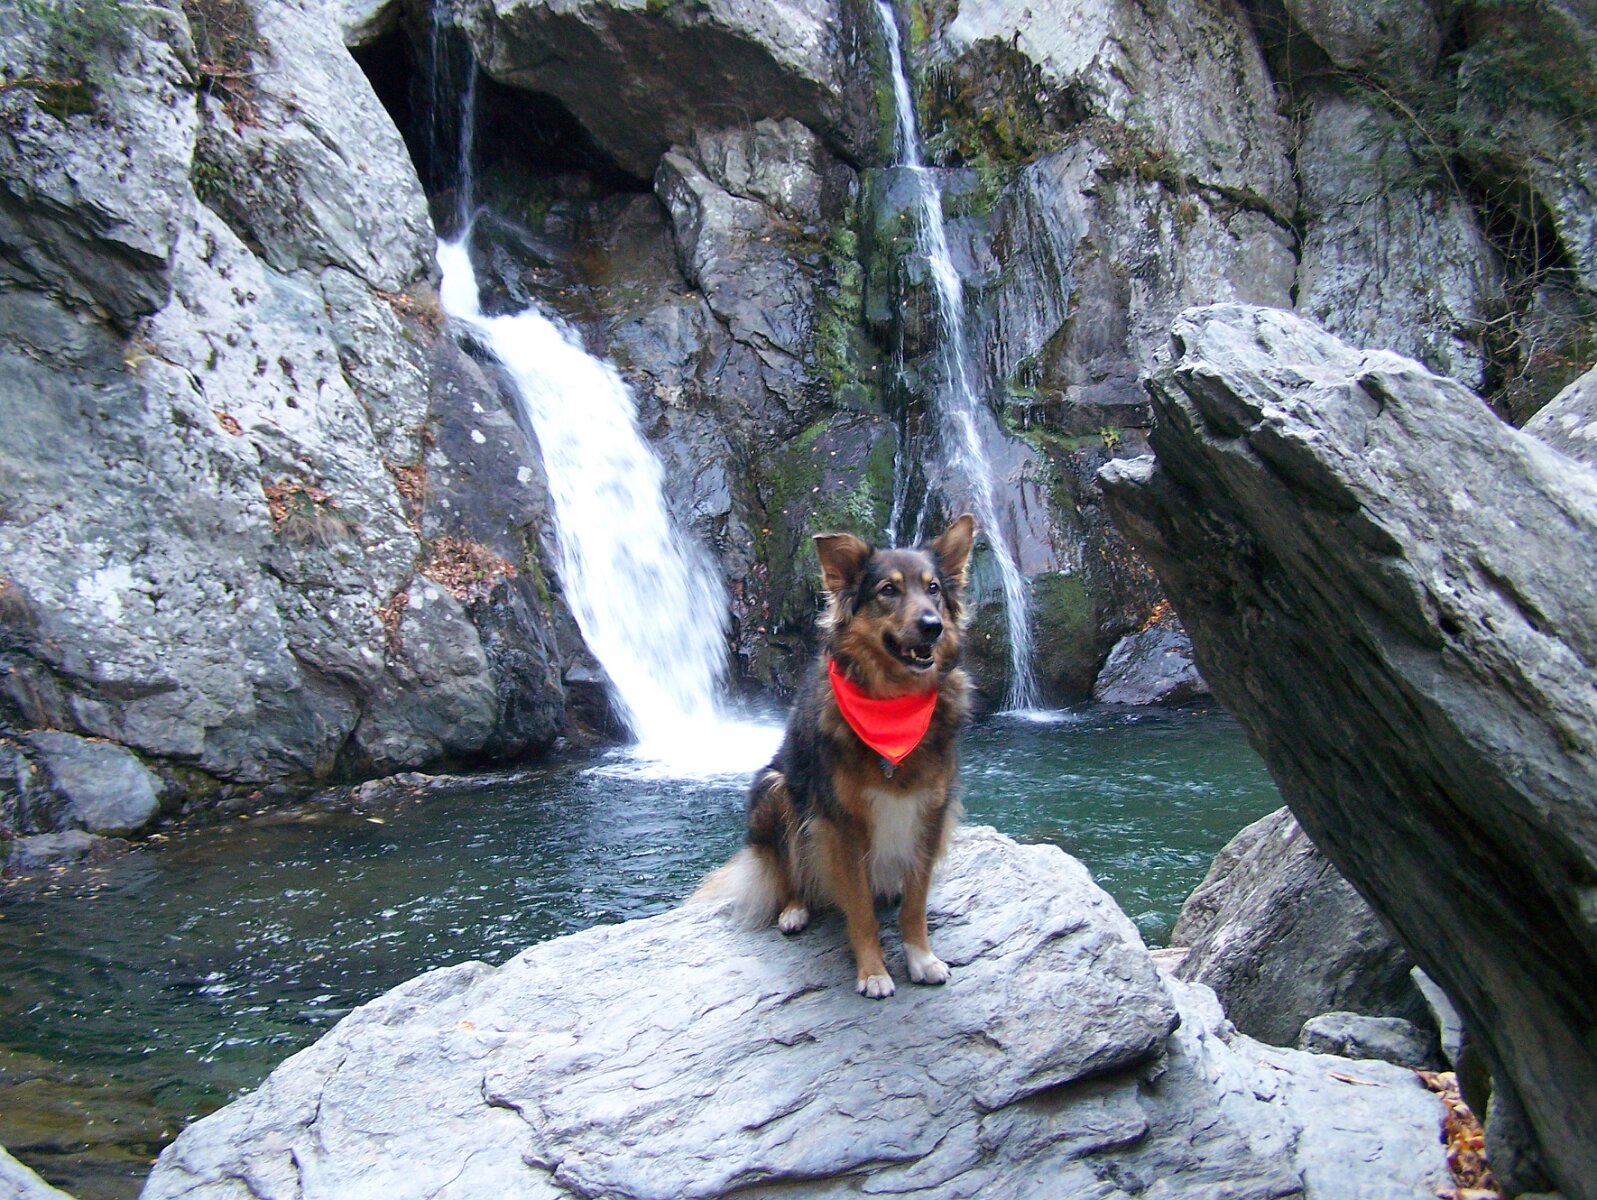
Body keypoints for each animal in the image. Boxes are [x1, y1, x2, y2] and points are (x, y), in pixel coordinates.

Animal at [696, 514, 975, 998]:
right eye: (888, 590)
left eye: (934, 588)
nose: (932, 626)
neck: (892, 705)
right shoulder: (842, 824)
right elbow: (859, 907)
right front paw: (873, 972)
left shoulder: (931, 811)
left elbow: (916, 901)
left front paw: (920, 956)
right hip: (776, 790)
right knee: (789, 872)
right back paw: (794, 909)